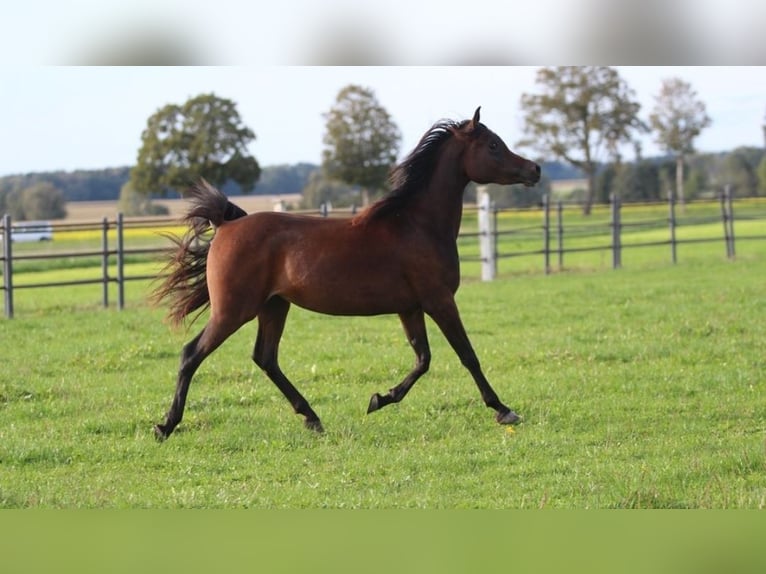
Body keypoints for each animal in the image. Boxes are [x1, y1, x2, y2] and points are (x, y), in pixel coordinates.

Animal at [153, 108, 544, 440]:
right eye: (493, 145)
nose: (535, 169)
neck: (418, 225)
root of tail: (225, 224)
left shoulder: (410, 308)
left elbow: (423, 359)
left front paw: (379, 399)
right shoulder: (439, 300)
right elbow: (466, 355)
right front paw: (503, 410)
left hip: (274, 306)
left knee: (266, 358)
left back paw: (312, 418)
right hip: (234, 310)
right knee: (191, 354)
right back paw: (166, 426)